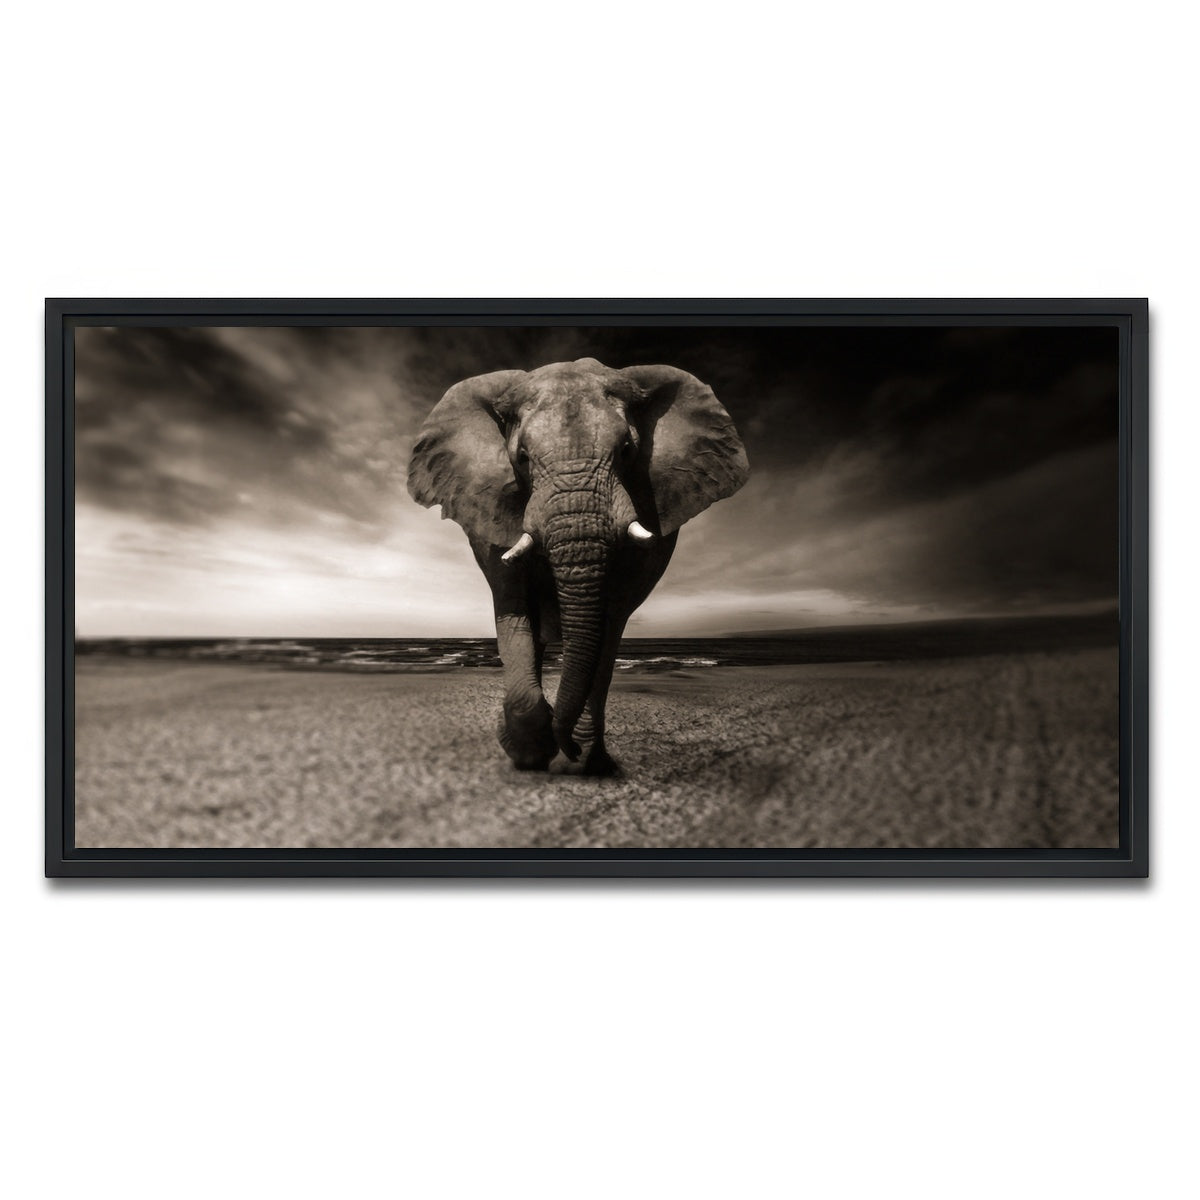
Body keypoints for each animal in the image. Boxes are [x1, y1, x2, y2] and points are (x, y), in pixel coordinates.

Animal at [407, 357, 749, 775]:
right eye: (522, 458)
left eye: (627, 451)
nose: (565, 745)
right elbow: (513, 606)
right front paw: (531, 753)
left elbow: (609, 620)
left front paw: (578, 757)